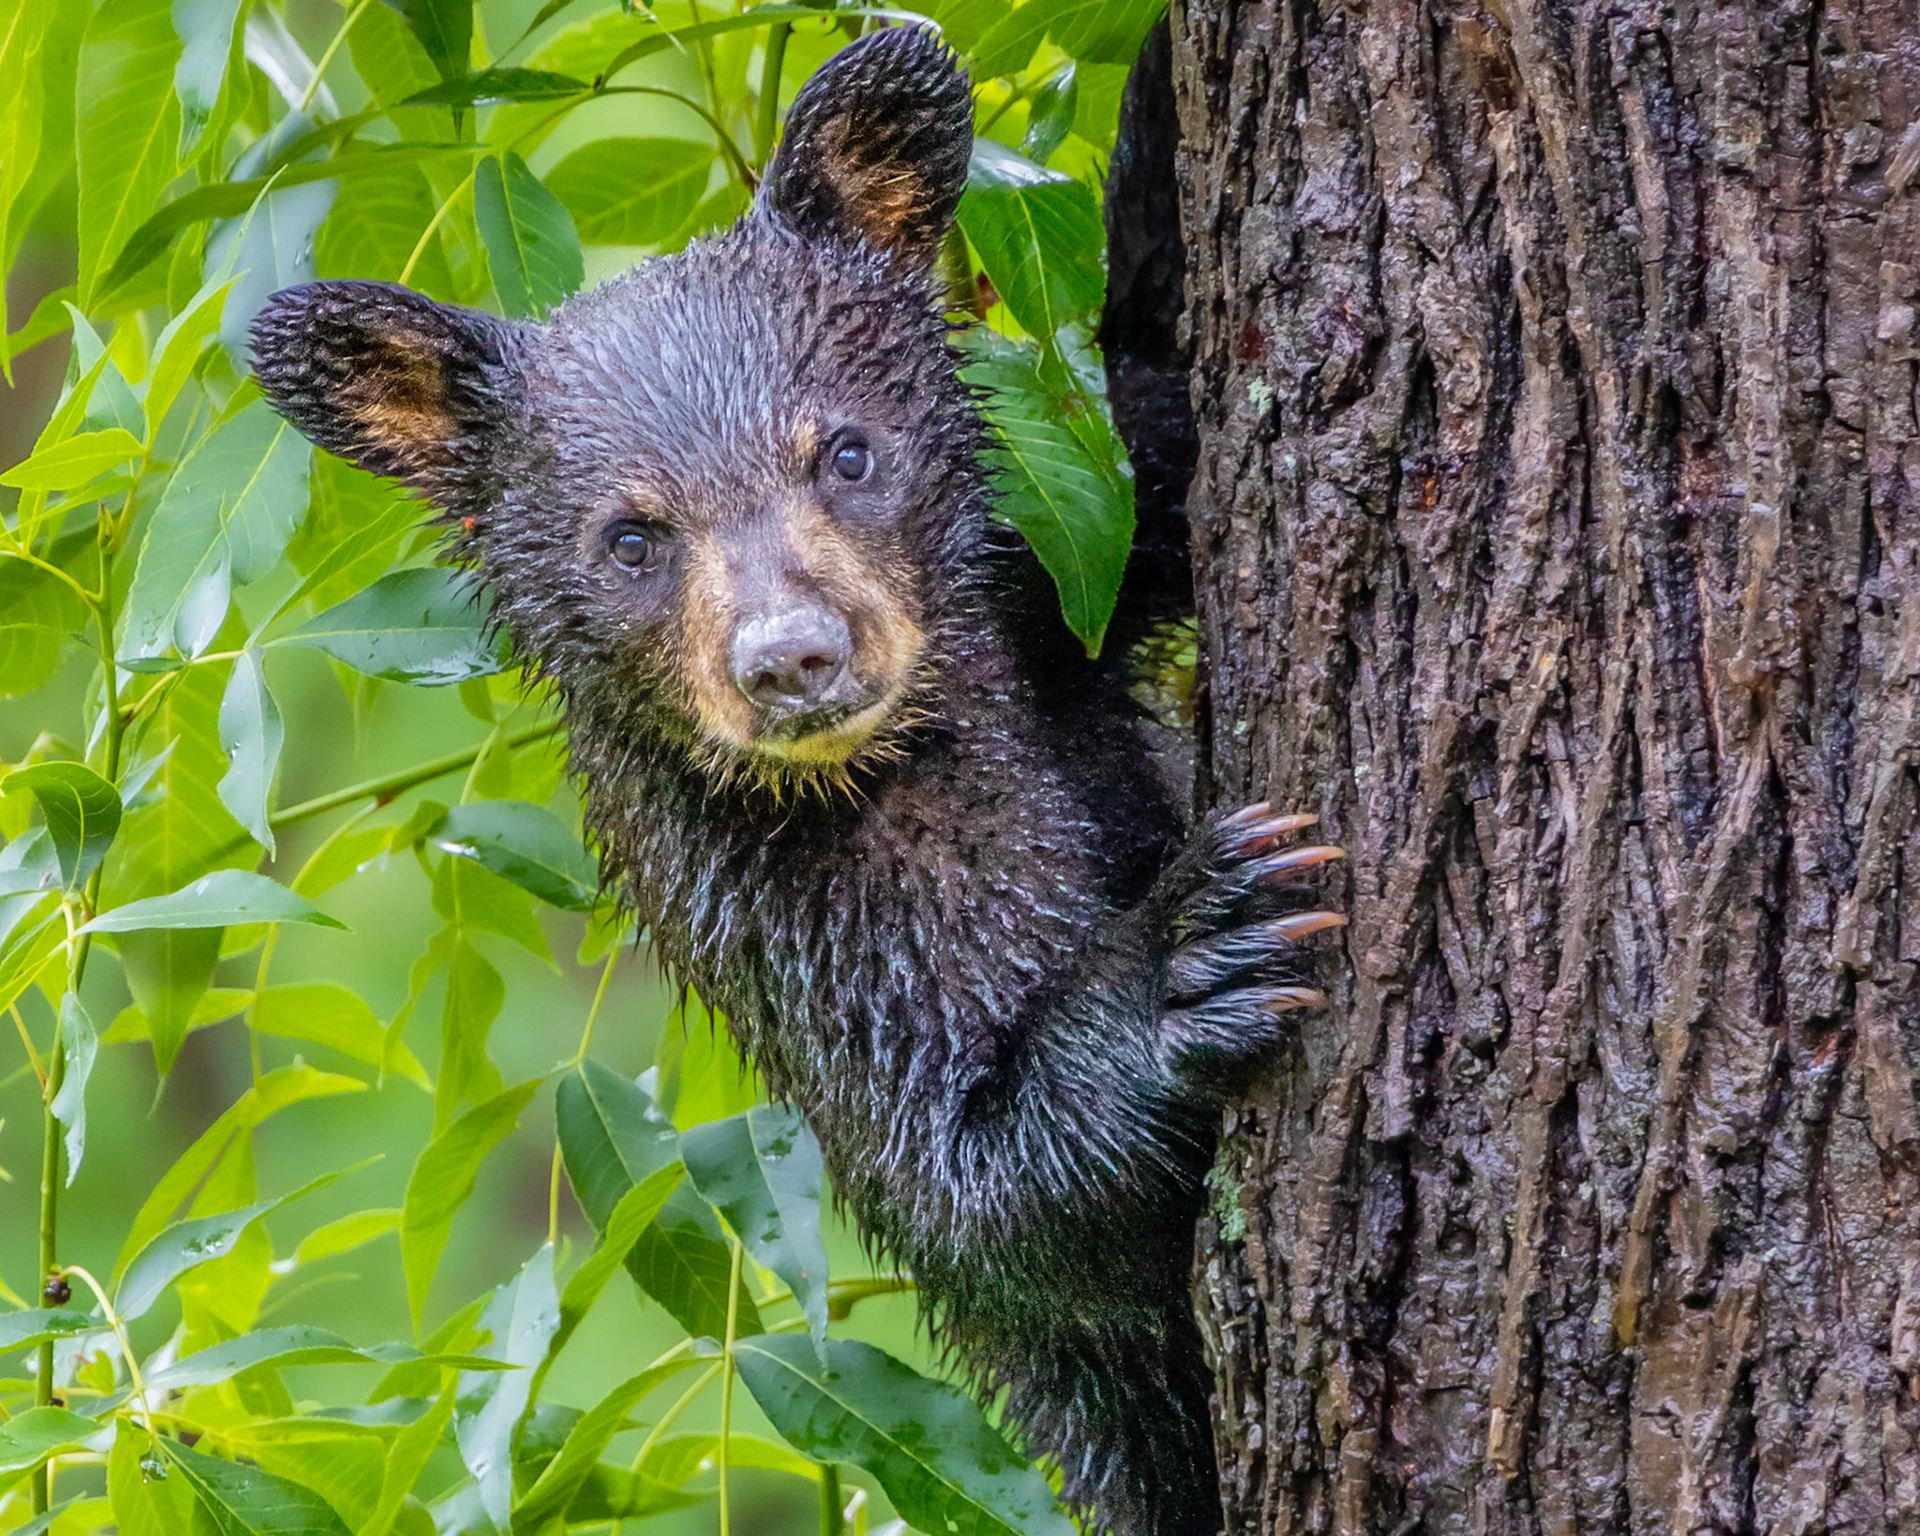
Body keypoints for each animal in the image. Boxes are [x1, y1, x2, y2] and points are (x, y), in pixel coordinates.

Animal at [251, 27, 1343, 1536]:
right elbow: (989, 1204)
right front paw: (1195, 956)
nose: (793, 658)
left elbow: (1152, 388)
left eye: (846, 450)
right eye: (632, 535)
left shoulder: (1059, 578)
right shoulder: (782, 913)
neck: (904, 765)